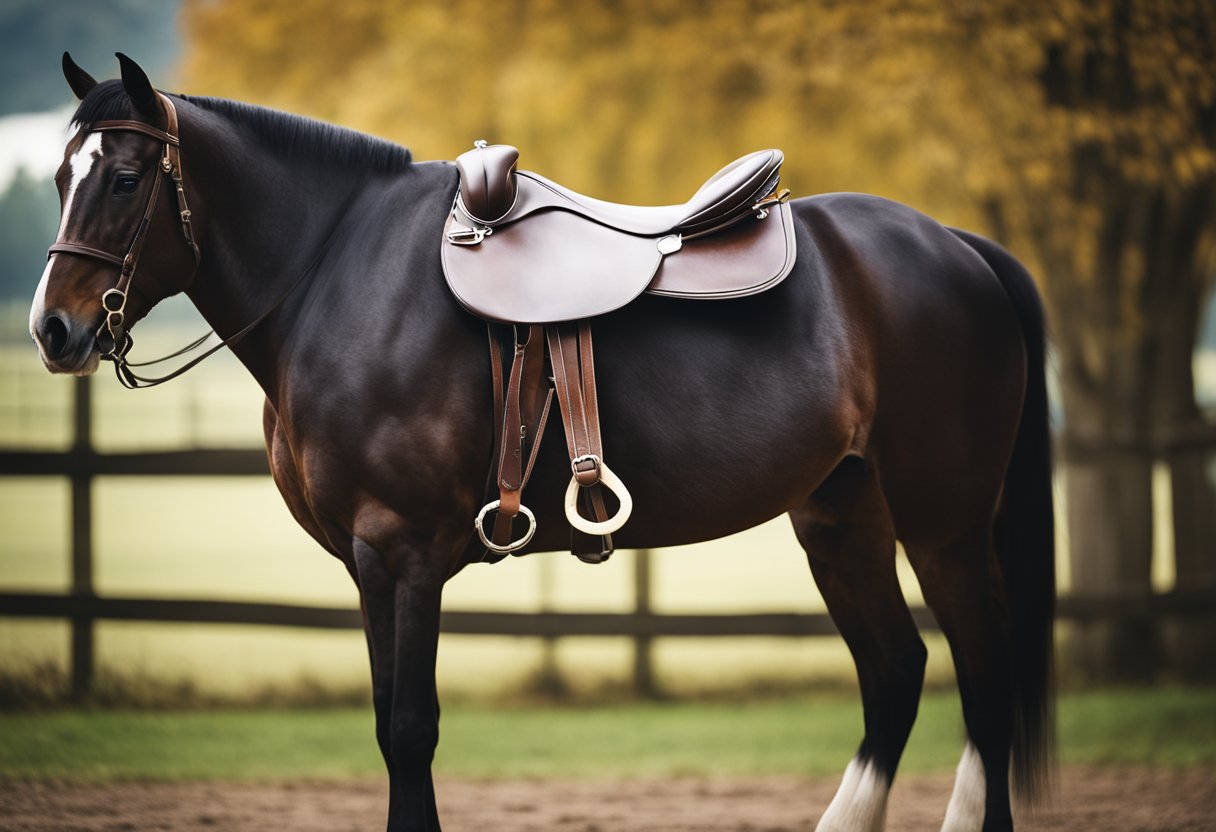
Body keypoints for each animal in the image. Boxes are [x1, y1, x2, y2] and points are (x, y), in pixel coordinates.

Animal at [30, 53, 1054, 832]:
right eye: (59, 177)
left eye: (125, 179)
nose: (52, 330)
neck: (337, 275)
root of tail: (956, 244)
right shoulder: (365, 562)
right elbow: (386, 725)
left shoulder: (404, 551)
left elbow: (410, 729)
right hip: (841, 517)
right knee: (897, 672)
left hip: (945, 525)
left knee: (983, 675)